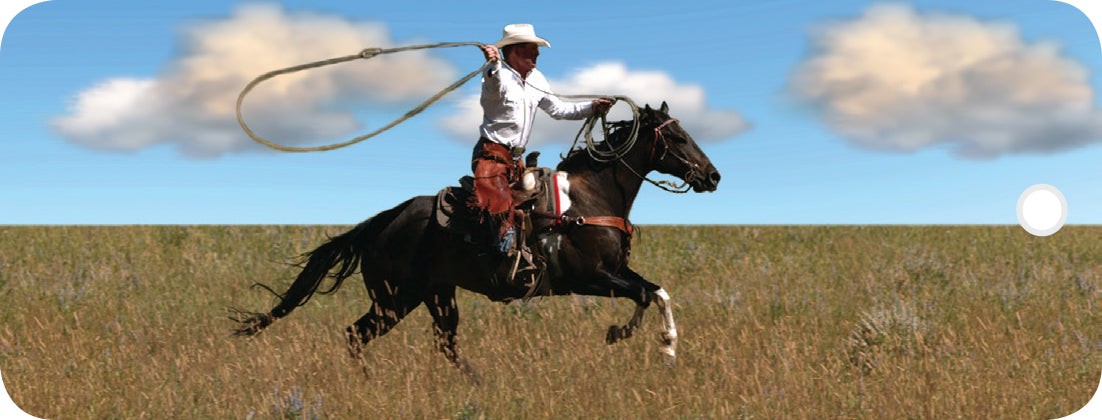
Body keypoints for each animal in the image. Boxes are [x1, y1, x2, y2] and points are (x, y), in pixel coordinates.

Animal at [230, 101, 722, 372]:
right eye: (679, 137)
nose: (713, 176)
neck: (589, 198)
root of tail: (383, 221)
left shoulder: (618, 271)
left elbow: (657, 292)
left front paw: (664, 348)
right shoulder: (590, 278)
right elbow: (643, 296)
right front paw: (625, 335)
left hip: (430, 295)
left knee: (431, 341)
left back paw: (472, 382)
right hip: (394, 298)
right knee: (360, 335)